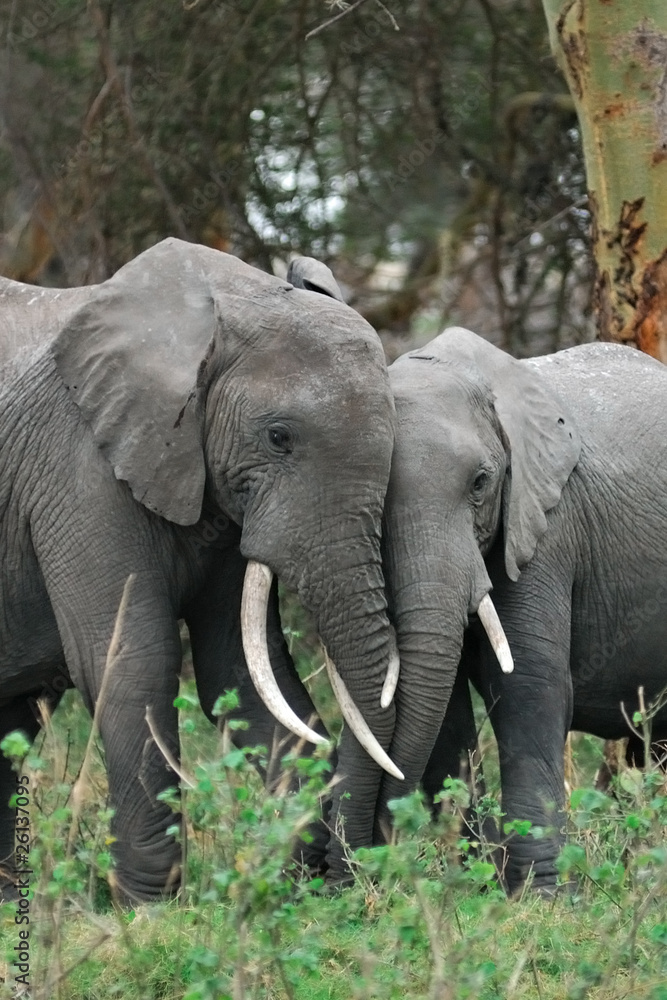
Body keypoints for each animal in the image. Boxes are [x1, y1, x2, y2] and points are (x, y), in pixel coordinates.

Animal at [0, 238, 404, 902]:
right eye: (279, 437)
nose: (346, 879)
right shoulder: (79, 468)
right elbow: (132, 660)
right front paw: (151, 905)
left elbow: (242, 670)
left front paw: (293, 879)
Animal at [373, 327, 667, 895]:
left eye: (481, 483)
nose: (358, 858)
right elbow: (443, 702)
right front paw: (476, 885)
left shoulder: (547, 523)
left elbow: (526, 683)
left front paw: (542, 894)